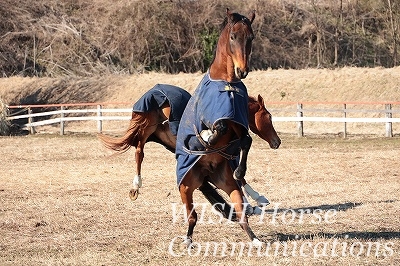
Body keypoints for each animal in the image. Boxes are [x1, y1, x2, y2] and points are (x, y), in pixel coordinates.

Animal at [174, 9, 262, 247]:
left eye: (251, 38)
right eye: (233, 36)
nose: (242, 71)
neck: (227, 83)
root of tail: (206, 173)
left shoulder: (238, 122)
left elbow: (247, 140)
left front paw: (240, 170)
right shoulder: (216, 118)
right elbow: (218, 127)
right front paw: (208, 137)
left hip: (228, 185)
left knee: (241, 214)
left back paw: (255, 239)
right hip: (187, 186)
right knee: (192, 215)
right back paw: (188, 240)